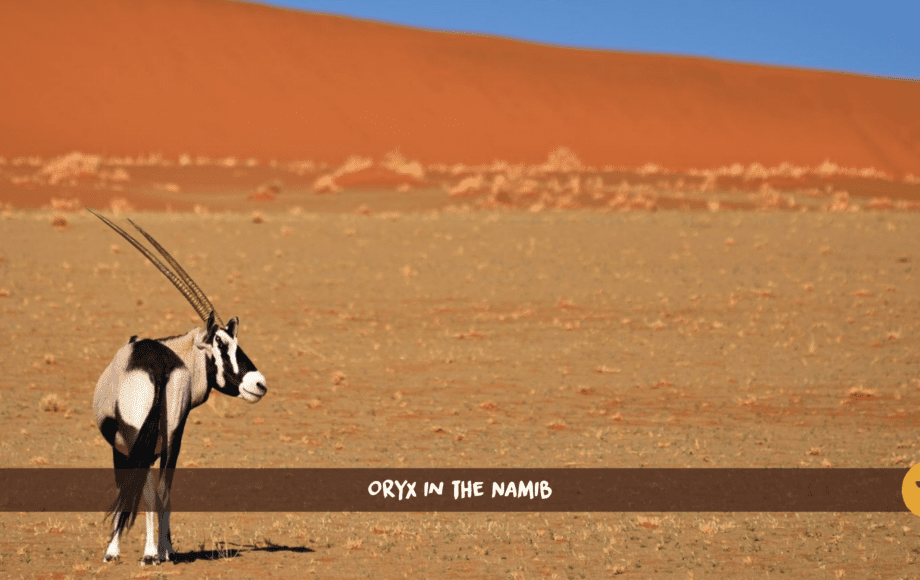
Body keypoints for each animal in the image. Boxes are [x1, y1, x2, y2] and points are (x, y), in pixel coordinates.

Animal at [88, 209, 267, 565]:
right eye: (222, 344)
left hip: (138, 440)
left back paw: (148, 554)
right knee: (163, 488)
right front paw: (166, 548)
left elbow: (126, 488)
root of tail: (158, 366)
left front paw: (114, 550)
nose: (259, 383)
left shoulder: (121, 446)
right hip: (171, 437)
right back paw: (162, 551)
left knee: (145, 489)